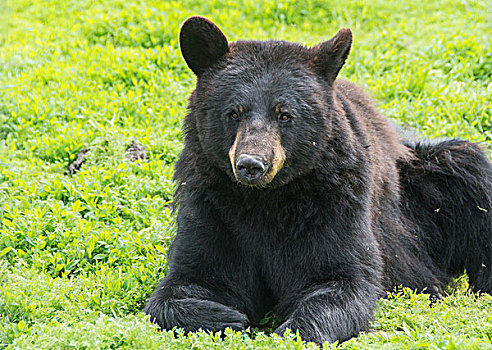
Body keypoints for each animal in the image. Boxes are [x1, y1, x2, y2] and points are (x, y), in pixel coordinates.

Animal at [145, 16, 492, 344]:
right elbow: (188, 279)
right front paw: (225, 316)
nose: (251, 165)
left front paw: (294, 329)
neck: (266, 200)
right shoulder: (211, 204)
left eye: (285, 114)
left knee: (471, 173)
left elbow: (342, 279)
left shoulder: (335, 203)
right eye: (233, 112)